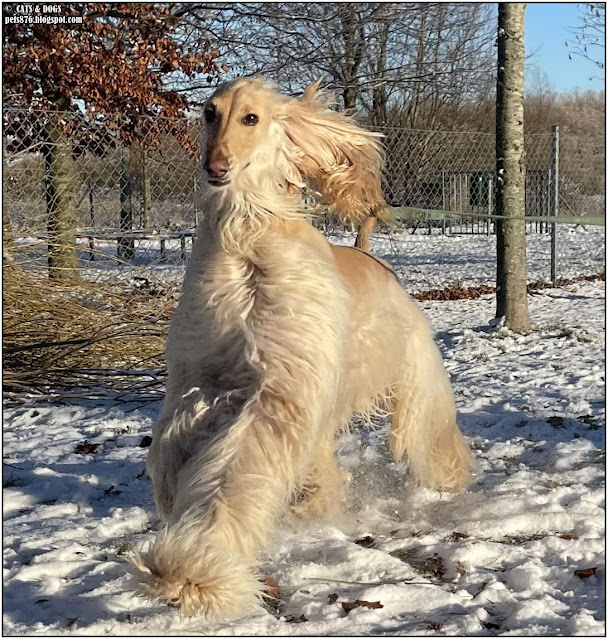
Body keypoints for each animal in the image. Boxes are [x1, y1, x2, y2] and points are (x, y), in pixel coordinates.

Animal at [134, 79, 476, 620]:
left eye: (251, 118)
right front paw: (177, 516)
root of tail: (367, 255)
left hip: (409, 371)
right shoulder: (199, 379)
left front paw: (194, 570)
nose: (215, 166)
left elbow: (237, 469)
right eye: (209, 113)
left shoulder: (279, 387)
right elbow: (170, 450)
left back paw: (446, 477)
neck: (245, 237)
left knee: (427, 428)